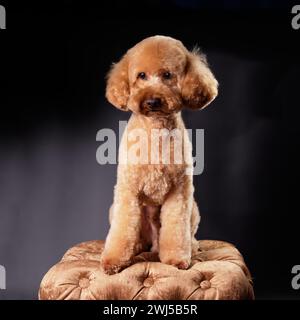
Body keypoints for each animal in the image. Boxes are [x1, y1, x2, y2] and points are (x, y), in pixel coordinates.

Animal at [101, 35, 218, 276]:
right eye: (141, 75)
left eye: (167, 75)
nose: (152, 102)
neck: (155, 129)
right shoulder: (128, 190)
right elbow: (122, 230)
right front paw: (113, 261)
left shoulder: (179, 193)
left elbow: (176, 229)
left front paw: (177, 259)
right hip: (115, 210)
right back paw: (138, 246)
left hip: (193, 209)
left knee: (186, 234)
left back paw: (190, 247)